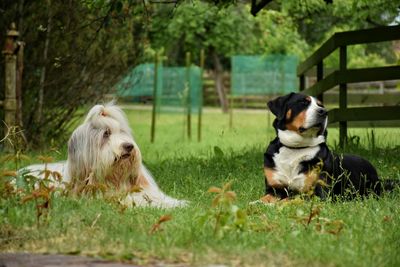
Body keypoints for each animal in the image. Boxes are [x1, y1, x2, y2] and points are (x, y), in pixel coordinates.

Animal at [262, 92, 394, 203]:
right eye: (303, 102)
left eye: (321, 105)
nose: (323, 112)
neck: (296, 148)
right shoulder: (274, 189)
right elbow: (264, 199)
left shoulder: (319, 192)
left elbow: (291, 198)